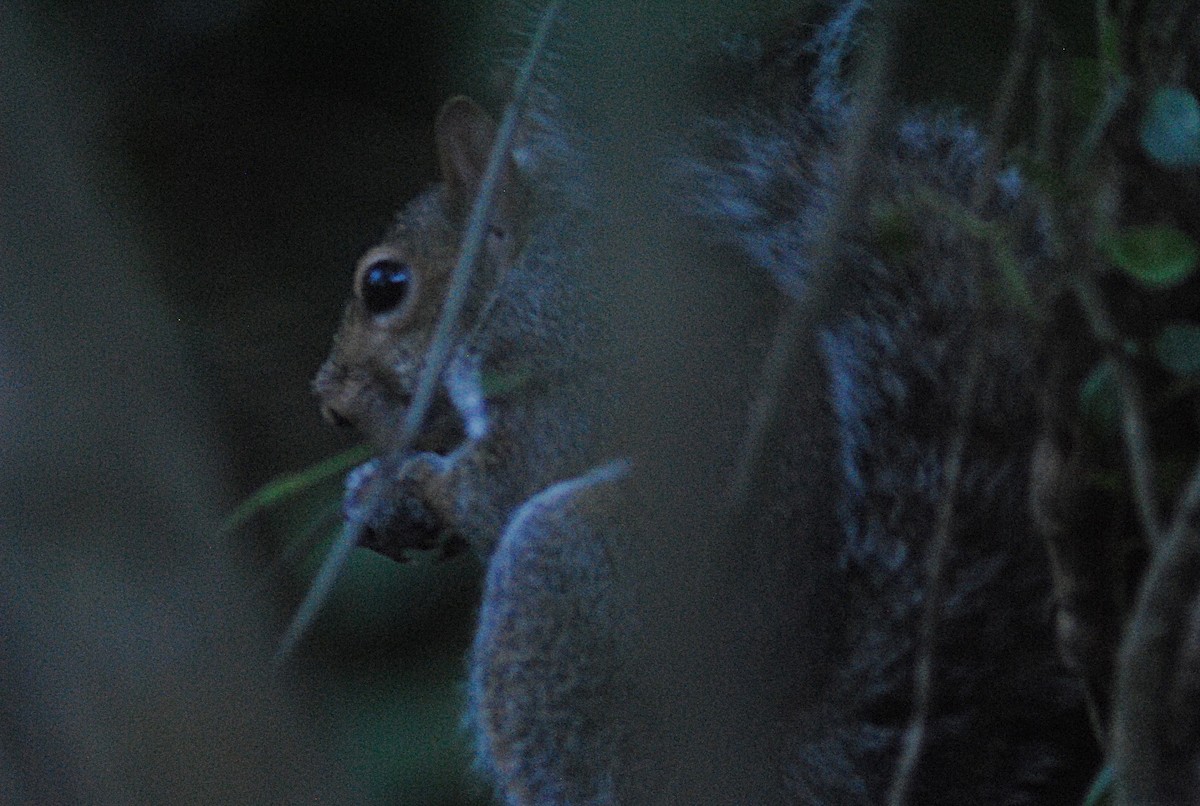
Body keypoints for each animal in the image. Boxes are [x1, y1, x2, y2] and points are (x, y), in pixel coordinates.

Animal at [312, 3, 1100, 803]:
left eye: (385, 285)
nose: (329, 404)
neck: (522, 265)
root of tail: (757, 772)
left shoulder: (561, 346)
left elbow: (512, 476)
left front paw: (408, 482)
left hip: (567, 575)